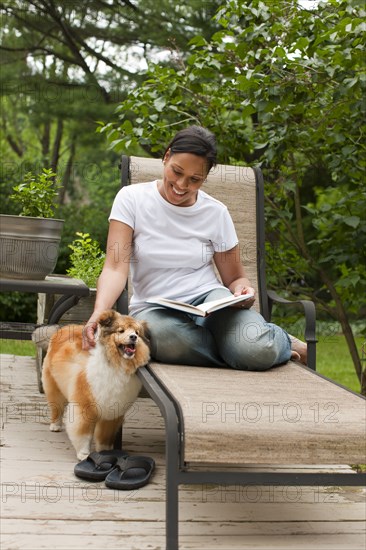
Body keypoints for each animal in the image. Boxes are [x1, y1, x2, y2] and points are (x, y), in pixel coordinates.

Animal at [32, 310, 150, 462]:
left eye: (137, 332)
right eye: (121, 331)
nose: (133, 337)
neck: (116, 364)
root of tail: (62, 329)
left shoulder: (112, 412)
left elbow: (104, 436)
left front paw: (104, 452)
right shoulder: (84, 408)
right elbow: (83, 434)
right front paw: (83, 454)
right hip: (54, 387)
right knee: (56, 408)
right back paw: (55, 426)